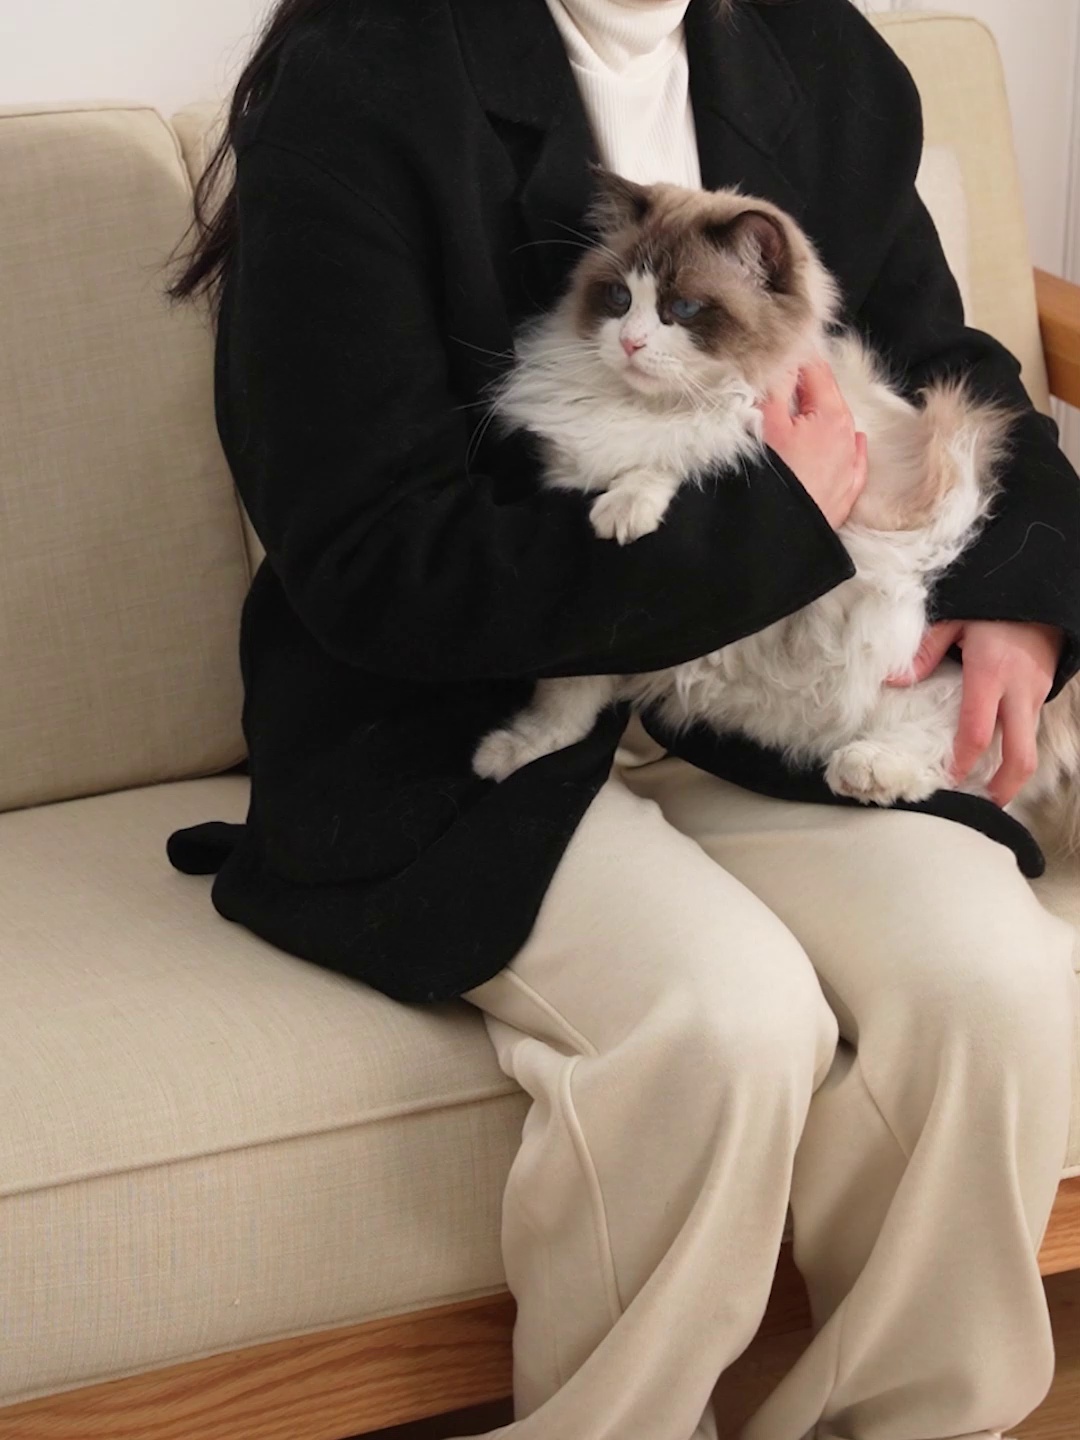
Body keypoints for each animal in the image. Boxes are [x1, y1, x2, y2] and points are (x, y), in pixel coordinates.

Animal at [473, 171, 1080, 850]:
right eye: (617, 299)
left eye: (682, 310)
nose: (629, 343)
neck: (646, 407)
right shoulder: (607, 626)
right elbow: (563, 708)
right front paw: (513, 753)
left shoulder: (751, 428)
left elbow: (689, 449)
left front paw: (627, 505)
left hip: (916, 641)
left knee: (956, 749)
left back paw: (866, 770)